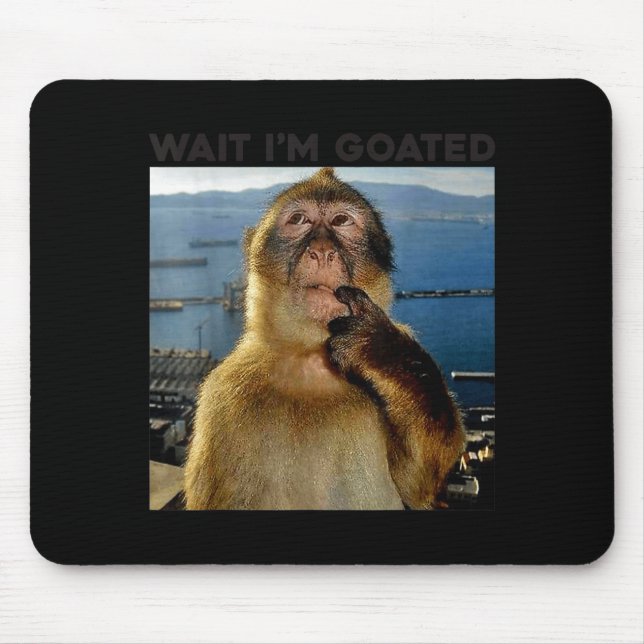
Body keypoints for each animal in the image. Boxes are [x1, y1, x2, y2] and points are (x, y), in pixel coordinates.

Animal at [184, 167, 464, 510]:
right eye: (299, 220)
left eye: (342, 221)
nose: (322, 251)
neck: (311, 359)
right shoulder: (222, 397)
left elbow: (417, 484)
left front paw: (379, 348)